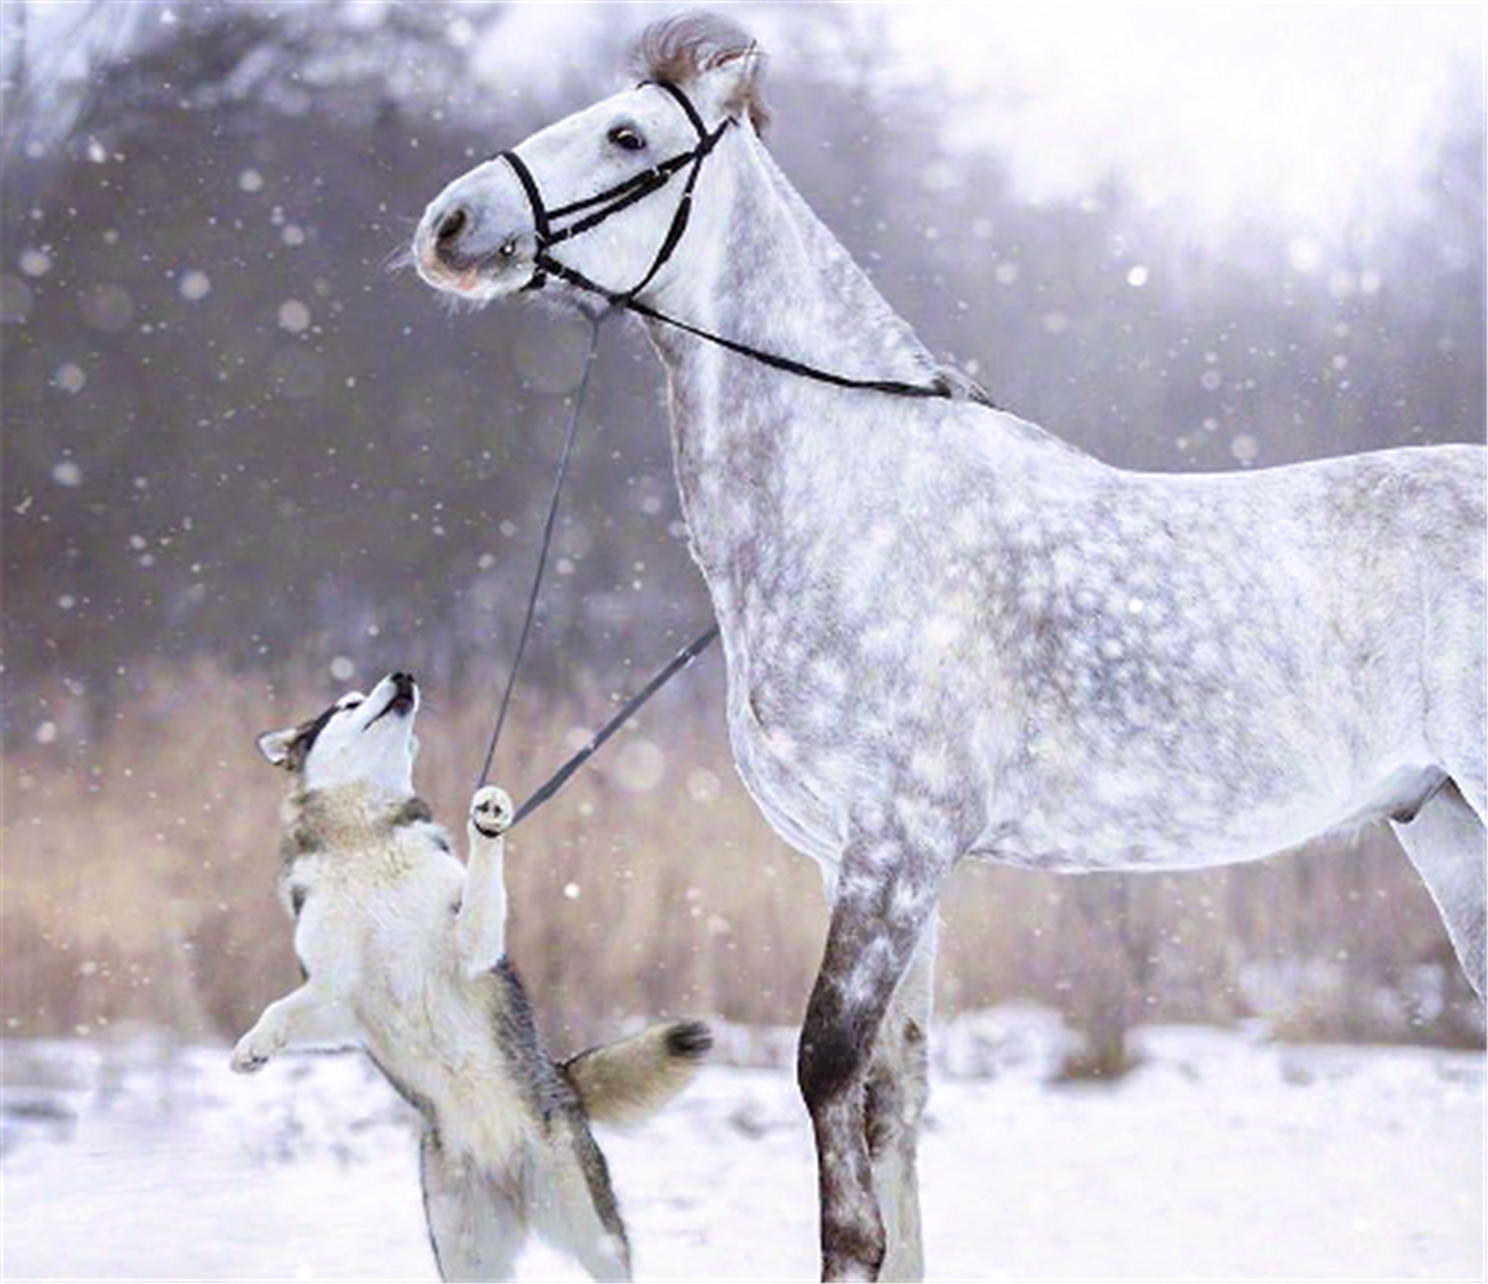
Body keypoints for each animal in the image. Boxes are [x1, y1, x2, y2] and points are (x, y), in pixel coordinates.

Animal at [413, 13, 1486, 1280]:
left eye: (627, 134)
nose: (450, 225)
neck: (856, 499)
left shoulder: (896, 851)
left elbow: (833, 1101)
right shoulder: (859, 865)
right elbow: (894, 1105)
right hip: (1447, 829)